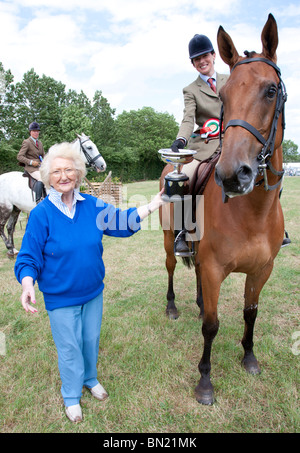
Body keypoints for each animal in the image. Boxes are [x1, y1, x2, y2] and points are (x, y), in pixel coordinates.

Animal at [161, 13, 288, 402]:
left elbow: (251, 313)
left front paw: (249, 358)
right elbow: (211, 326)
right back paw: (172, 306)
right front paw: (205, 381)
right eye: (224, 97)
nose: (233, 175)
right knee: (171, 266)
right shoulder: (216, 268)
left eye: (271, 90)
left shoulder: (262, 269)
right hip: (169, 238)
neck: (253, 213)